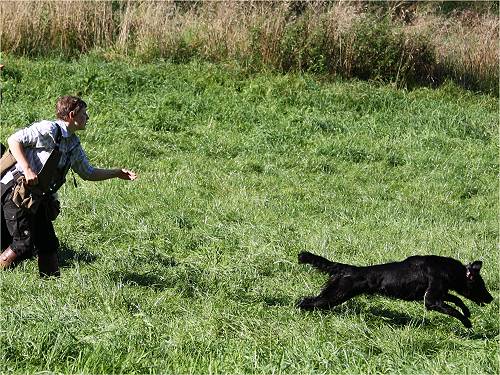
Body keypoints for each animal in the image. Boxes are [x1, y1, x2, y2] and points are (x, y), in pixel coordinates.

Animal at [296, 253, 492, 328]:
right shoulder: (431, 300)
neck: (448, 269)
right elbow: (452, 308)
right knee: (306, 301)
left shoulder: (436, 294)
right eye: (481, 285)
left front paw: (467, 312)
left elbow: (456, 299)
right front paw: (467, 323)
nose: (491, 299)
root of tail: (348, 269)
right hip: (335, 295)